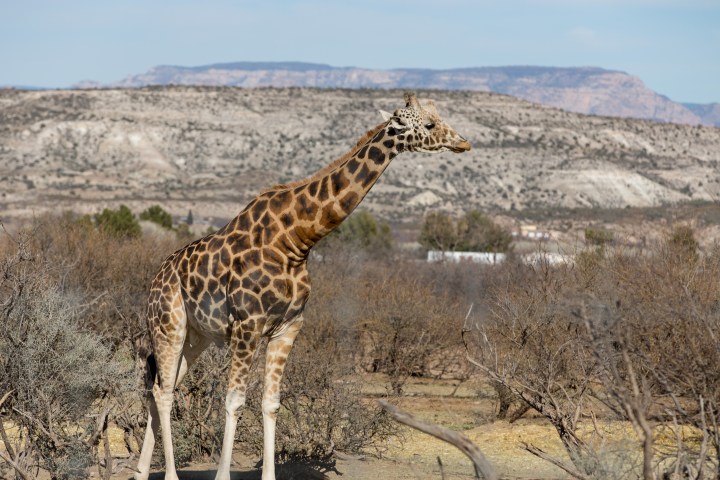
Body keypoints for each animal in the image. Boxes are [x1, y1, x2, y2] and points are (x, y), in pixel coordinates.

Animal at [134, 91, 471, 480]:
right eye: (429, 124)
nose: (464, 142)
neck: (296, 240)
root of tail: (156, 279)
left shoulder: (288, 327)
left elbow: (271, 404)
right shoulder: (248, 326)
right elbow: (234, 402)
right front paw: (222, 474)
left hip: (196, 336)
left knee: (162, 384)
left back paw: (140, 471)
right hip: (168, 325)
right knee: (164, 392)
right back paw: (169, 474)